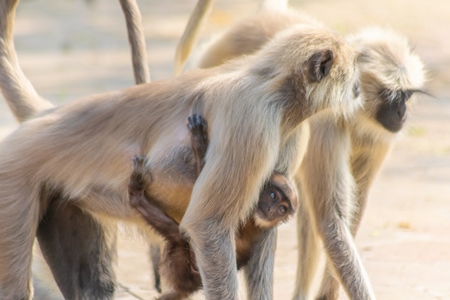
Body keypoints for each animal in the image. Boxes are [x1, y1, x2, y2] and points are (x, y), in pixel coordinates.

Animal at [126, 113, 298, 298]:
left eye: (282, 209)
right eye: (273, 196)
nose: (271, 210)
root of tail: (189, 287)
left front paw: (199, 141)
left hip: (183, 266)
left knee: (179, 236)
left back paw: (136, 193)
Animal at [192, 7, 428, 300]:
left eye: (406, 96)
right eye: (390, 95)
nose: (401, 113)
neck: (355, 116)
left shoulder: (378, 136)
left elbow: (352, 210)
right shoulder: (327, 124)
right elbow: (330, 219)